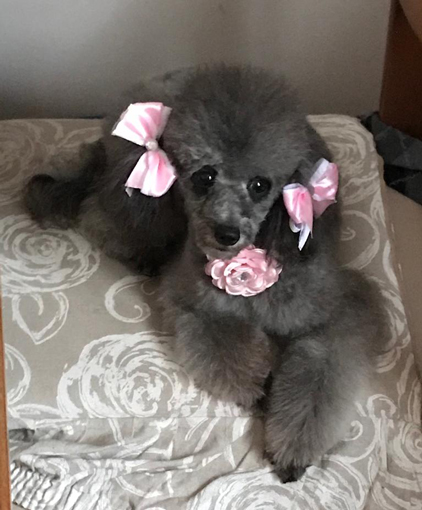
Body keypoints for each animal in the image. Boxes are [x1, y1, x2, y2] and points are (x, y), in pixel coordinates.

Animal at [24, 65, 386, 482]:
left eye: (261, 185)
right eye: (204, 176)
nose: (226, 234)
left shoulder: (338, 315)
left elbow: (320, 376)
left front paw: (294, 447)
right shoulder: (199, 304)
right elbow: (223, 348)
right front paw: (257, 389)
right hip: (141, 191)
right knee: (106, 216)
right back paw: (141, 252)